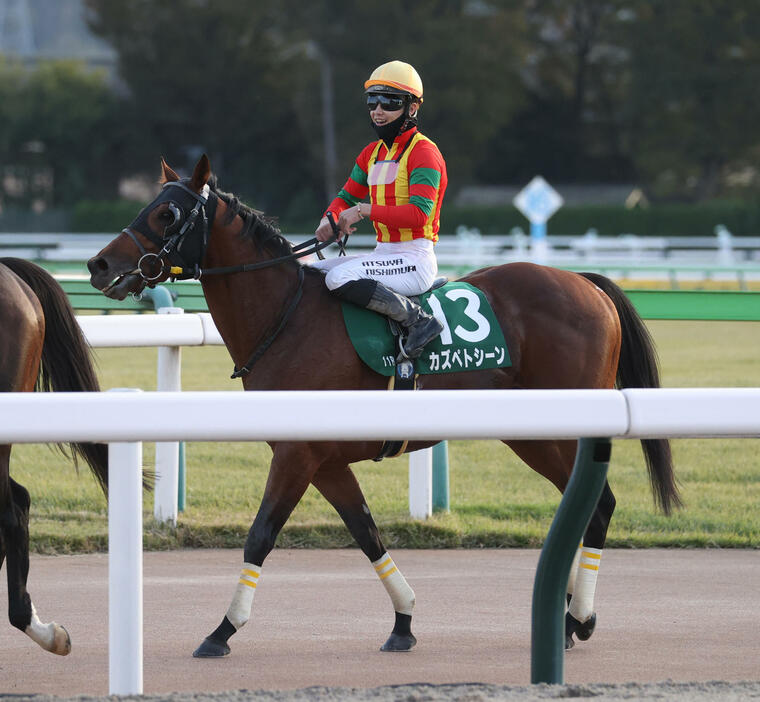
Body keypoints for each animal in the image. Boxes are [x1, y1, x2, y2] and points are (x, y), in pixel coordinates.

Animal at [86, 158, 680, 660]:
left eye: (167, 213)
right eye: (148, 204)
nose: (98, 263)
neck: (286, 317)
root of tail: (588, 285)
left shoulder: (296, 455)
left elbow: (261, 534)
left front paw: (222, 630)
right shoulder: (324, 461)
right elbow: (366, 531)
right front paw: (404, 623)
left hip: (555, 432)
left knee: (599, 506)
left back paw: (577, 619)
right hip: (532, 434)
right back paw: (570, 617)